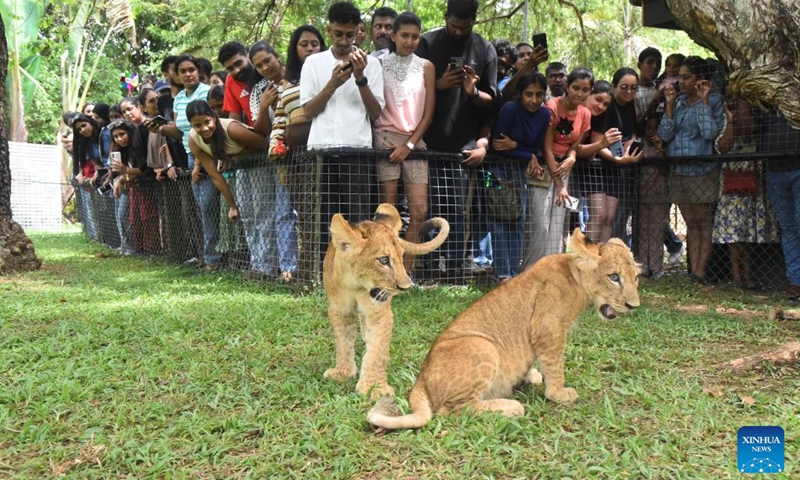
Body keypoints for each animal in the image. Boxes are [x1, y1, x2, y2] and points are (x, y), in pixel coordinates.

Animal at [322, 203, 449, 398]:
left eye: (401, 257)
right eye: (383, 260)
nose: (405, 287)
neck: (356, 286)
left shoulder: (379, 312)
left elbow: (377, 349)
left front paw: (374, 387)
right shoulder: (338, 310)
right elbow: (343, 342)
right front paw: (342, 373)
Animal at [367, 229, 641, 430]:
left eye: (635, 277)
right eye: (614, 277)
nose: (633, 306)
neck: (576, 276)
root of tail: (421, 380)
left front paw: (531, 376)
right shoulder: (548, 329)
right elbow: (555, 366)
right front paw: (558, 393)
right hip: (482, 346)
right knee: (451, 410)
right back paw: (511, 407)